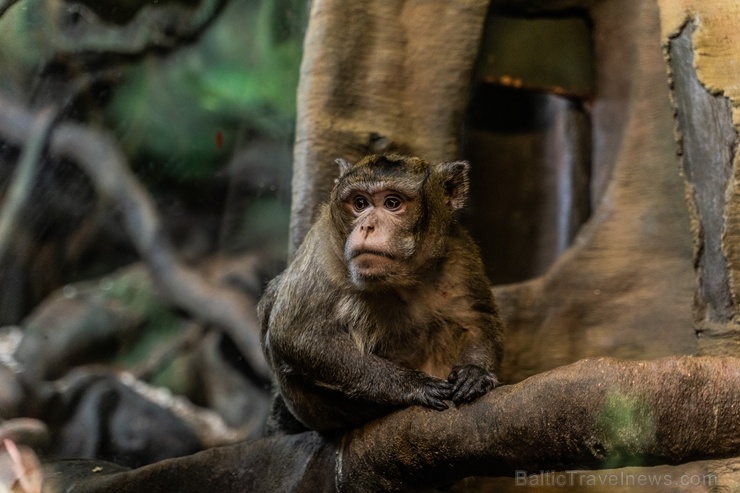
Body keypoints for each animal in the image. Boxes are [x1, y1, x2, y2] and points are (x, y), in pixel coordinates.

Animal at [258, 154, 506, 434]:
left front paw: (474, 373)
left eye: (392, 203)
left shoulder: (458, 249)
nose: (367, 226)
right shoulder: (321, 246)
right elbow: (294, 334)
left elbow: (476, 319)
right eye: (360, 203)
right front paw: (412, 384)